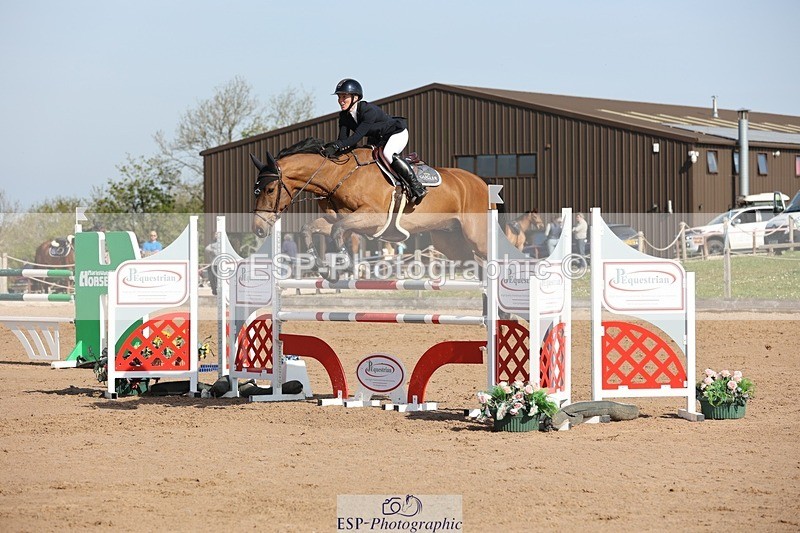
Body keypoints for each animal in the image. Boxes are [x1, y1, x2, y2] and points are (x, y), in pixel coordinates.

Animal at [250, 138, 490, 274]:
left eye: (269, 190)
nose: (258, 229)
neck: (338, 175)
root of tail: (482, 184)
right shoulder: (341, 220)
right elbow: (310, 229)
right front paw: (322, 268)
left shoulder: (374, 219)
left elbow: (337, 232)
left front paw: (346, 265)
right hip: (449, 240)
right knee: (475, 264)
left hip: (476, 237)